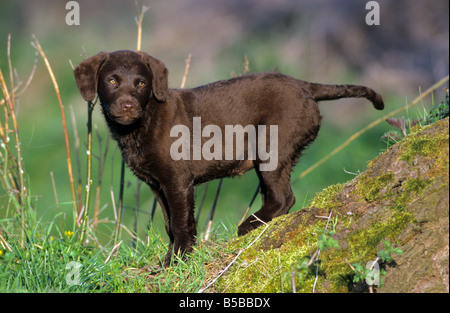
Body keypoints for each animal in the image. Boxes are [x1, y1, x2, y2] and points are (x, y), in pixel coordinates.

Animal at [74, 50, 384, 264]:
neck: (138, 127)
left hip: (270, 146)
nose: (128, 106)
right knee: (277, 197)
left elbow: (180, 222)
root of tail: (305, 86)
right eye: (112, 80)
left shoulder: (177, 180)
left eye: (141, 83)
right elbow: (169, 223)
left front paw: (176, 260)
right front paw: (173, 256)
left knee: (284, 197)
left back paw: (247, 226)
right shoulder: (157, 184)